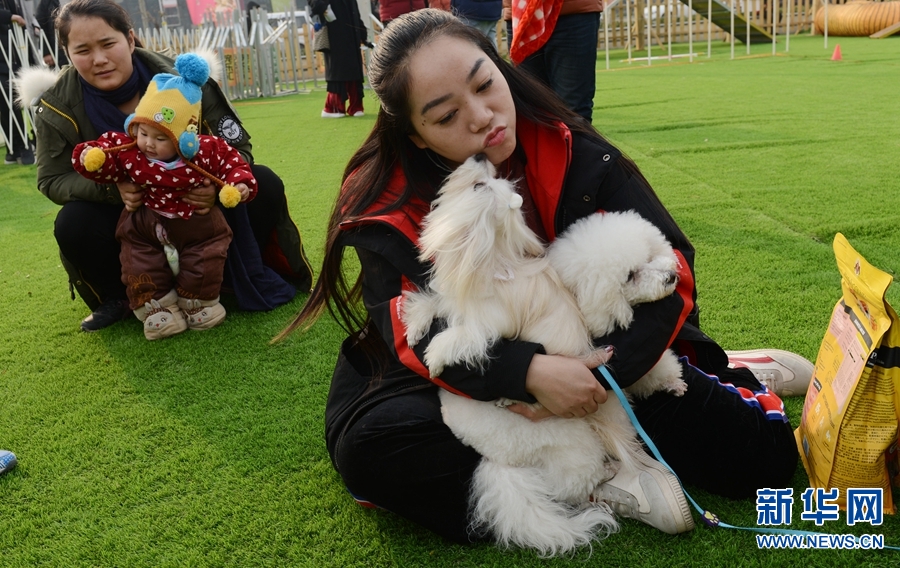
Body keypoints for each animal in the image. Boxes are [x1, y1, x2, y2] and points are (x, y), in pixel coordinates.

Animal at [400, 154, 684, 556]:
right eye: (481, 184)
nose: (479, 157)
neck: (491, 263)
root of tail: (500, 462)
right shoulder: (457, 304)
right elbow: (433, 303)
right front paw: (414, 327)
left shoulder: (486, 325)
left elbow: (461, 337)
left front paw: (435, 357)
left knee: (577, 484)